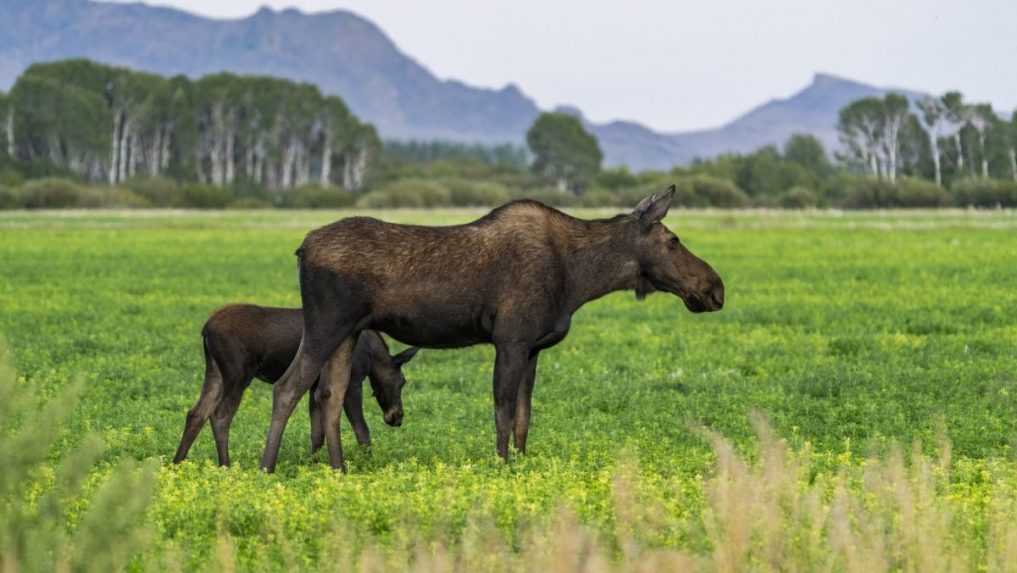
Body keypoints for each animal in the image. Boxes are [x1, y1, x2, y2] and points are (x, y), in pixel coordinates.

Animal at [172, 305, 419, 466]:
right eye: (402, 381)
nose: (396, 417)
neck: (372, 355)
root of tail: (205, 330)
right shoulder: (354, 380)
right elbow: (361, 428)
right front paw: (368, 463)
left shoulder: (315, 388)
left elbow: (316, 432)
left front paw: (314, 464)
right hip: (238, 373)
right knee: (220, 414)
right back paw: (225, 465)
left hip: (215, 371)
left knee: (196, 413)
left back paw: (177, 462)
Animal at [262, 186, 724, 472]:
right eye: (673, 240)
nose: (715, 288)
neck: (580, 279)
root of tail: (301, 249)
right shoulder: (511, 339)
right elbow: (502, 412)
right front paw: (501, 465)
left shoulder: (534, 347)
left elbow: (523, 417)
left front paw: (519, 461)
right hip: (326, 324)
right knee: (288, 387)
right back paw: (266, 467)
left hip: (348, 333)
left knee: (329, 395)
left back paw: (338, 469)